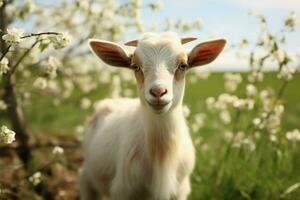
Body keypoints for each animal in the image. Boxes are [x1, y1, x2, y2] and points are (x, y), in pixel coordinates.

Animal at [79, 32, 225, 199]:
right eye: (135, 66)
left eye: (183, 65)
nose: (158, 92)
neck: (162, 154)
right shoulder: (124, 189)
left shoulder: (180, 190)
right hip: (88, 176)